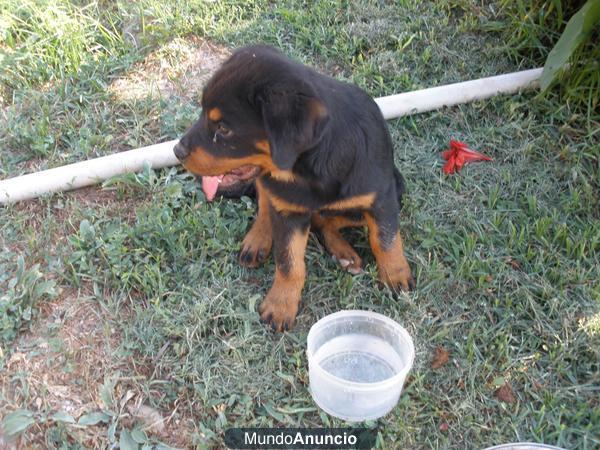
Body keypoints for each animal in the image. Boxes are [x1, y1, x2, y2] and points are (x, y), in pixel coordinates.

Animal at [176, 45, 414, 330]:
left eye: (223, 128)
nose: (176, 151)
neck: (308, 169)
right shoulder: (288, 212)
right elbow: (288, 261)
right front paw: (281, 304)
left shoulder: (382, 198)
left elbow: (385, 239)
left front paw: (395, 275)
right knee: (269, 202)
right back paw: (259, 238)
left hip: (395, 187)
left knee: (326, 221)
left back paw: (343, 252)